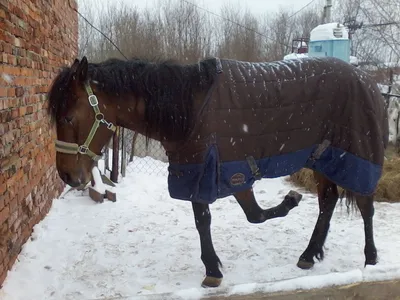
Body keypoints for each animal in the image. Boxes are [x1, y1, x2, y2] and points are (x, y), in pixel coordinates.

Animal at [46, 55, 388, 288]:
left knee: (365, 206)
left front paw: (212, 270)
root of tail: (369, 81)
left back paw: (372, 260)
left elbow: (210, 220)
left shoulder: (210, 170)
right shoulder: (220, 171)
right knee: (328, 201)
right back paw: (309, 253)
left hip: (357, 158)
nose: (67, 177)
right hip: (323, 160)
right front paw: (288, 202)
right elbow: (251, 215)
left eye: (67, 117)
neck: (188, 109)